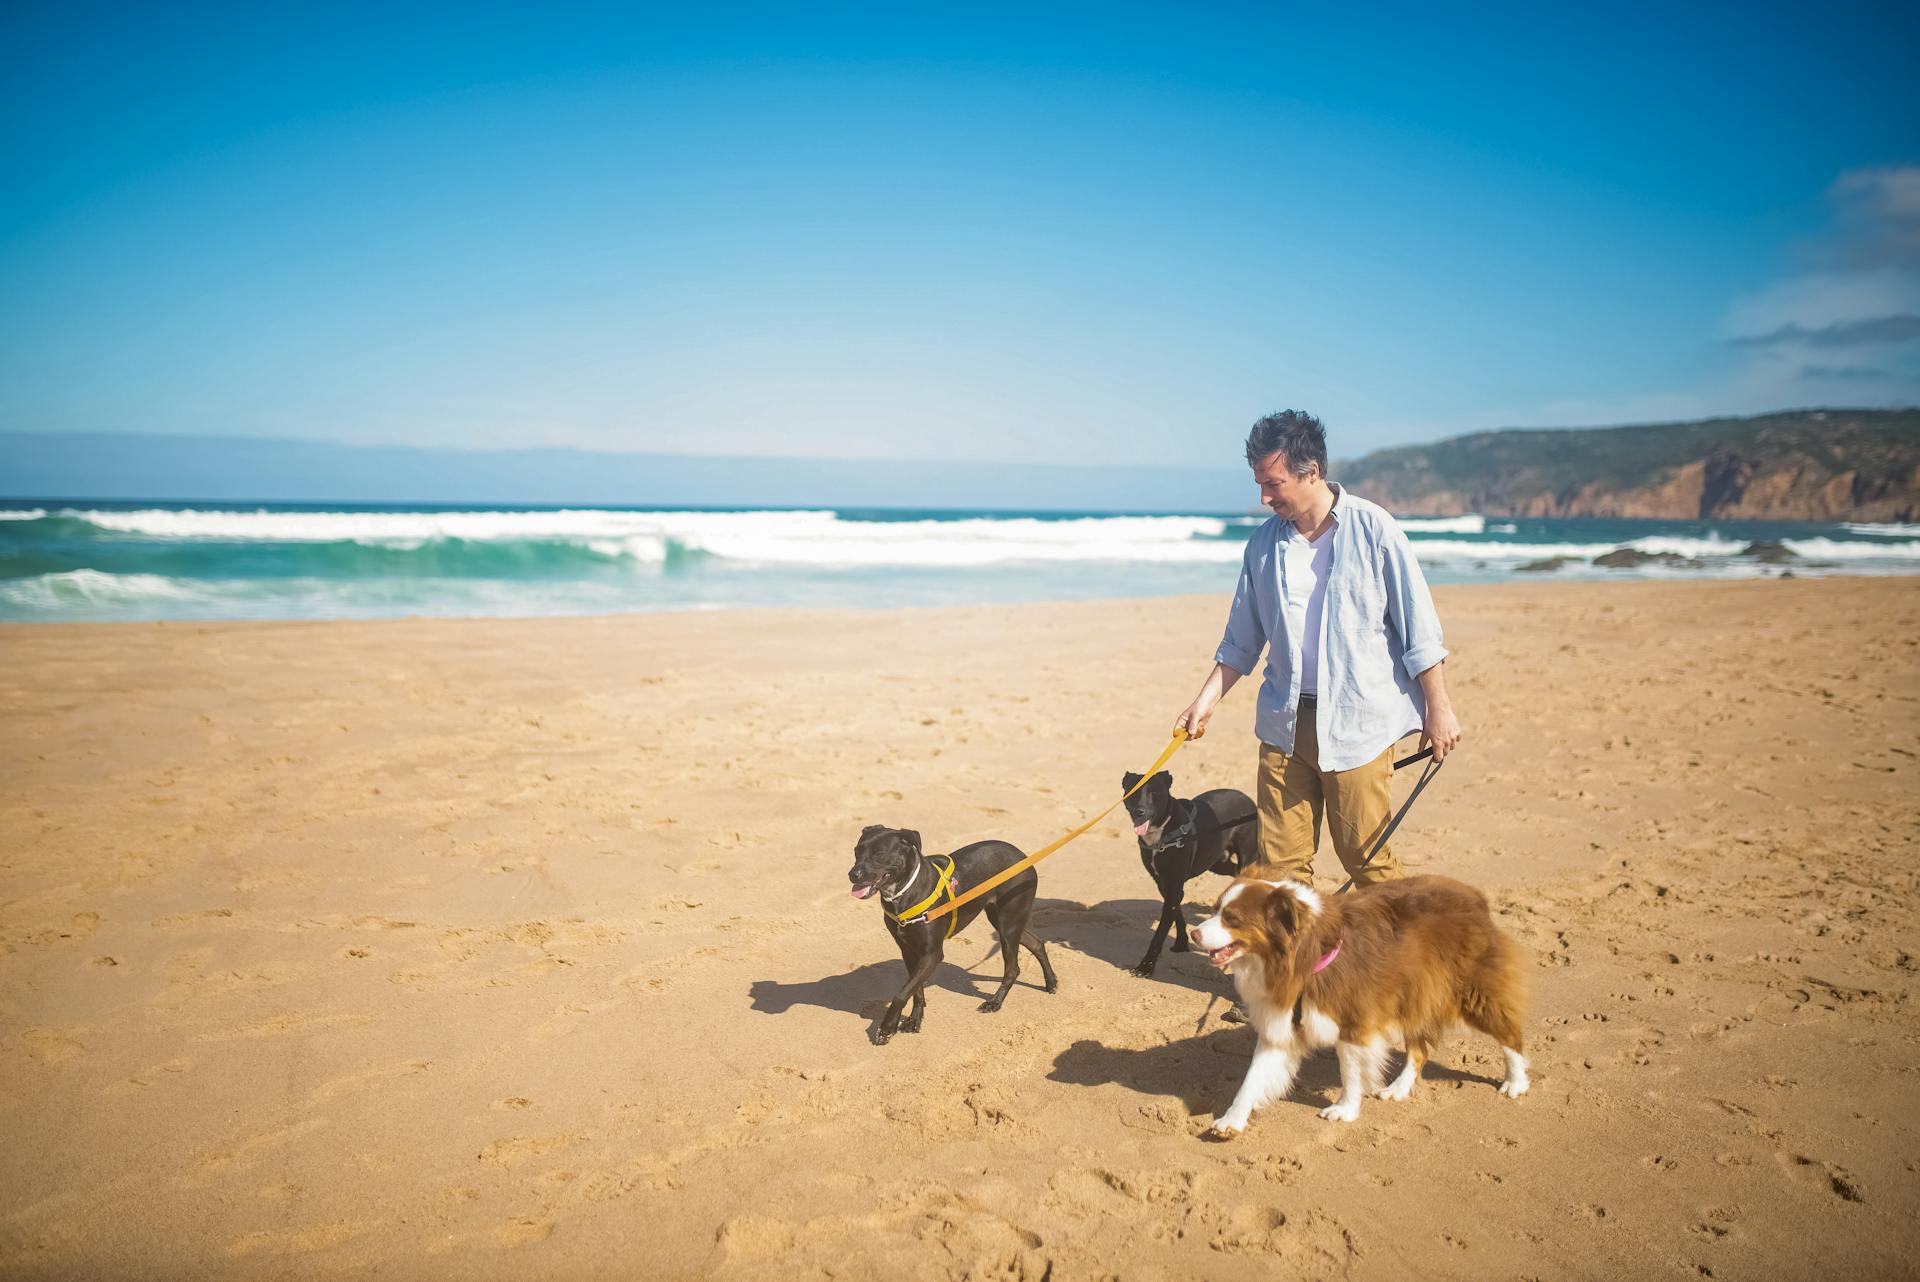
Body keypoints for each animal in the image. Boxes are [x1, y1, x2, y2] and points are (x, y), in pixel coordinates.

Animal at [848, 825, 1059, 1044]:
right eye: (856, 852)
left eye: (879, 854)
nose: (852, 875)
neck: (905, 891)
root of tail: (1022, 856)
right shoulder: (908, 950)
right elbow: (915, 990)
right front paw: (915, 1020)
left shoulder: (932, 954)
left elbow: (902, 993)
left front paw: (887, 1028)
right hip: (1003, 921)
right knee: (1036, 943)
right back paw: (1051, 982)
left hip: (1008, 925)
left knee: (1012, 970)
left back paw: (995, 1003)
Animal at [1182, 875, 1528, 1136]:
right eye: (1215, 909)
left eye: (1233, 919)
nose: (1193, 933)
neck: (1303, 954)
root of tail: (1474, 895)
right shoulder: (1281, 1026)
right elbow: (1252, 1078)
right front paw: (1231, 1120)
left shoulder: (1353, 1020)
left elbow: (1350, 1072)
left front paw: (1345, 1109)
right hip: (1413, 995)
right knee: (1419, 1050)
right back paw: (1398, 1089)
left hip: (1473, 993)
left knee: (1510, 1035)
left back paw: (1516, 1081)